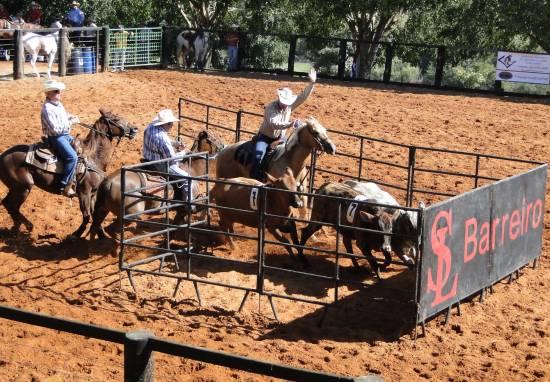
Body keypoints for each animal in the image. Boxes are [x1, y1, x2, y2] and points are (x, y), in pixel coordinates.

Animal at [0, 108, 138, 239]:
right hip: (23, 188)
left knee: (7, 204)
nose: (134, 129)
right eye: (116, 118)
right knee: (13, 206)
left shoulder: (93, 193)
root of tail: (2, 156)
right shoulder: (84, 193)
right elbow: (87, 216)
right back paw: (28, 226)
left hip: (16, 188)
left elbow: (95, 215)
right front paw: (76, 234)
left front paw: (101, 234)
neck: (93, 157)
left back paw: (16, 229)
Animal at [90, 130, 226, 240]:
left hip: (102, 209)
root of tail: (108, 183)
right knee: (111, 229)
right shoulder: (183, 210)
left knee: (96, 225)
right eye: (214, 138)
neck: (191, 169)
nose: (223, 146)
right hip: (131, 215)